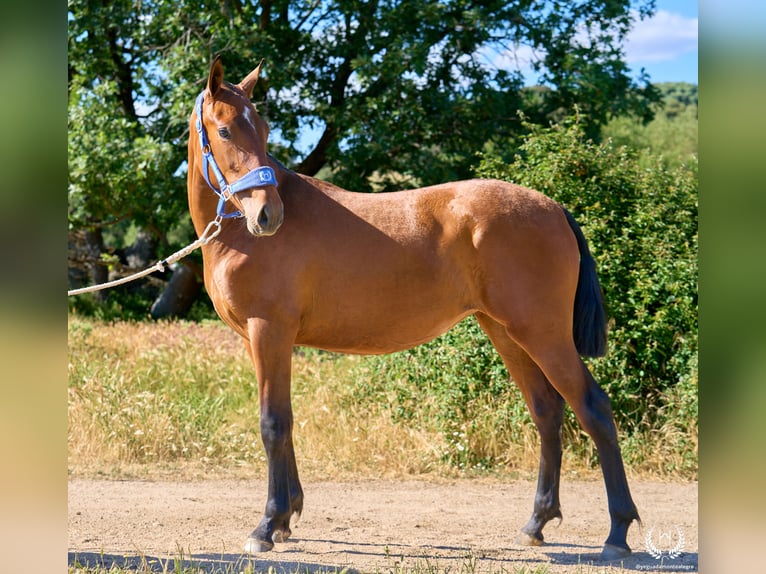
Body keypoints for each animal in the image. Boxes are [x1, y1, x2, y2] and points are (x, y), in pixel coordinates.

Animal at [187, 56, 640, 561]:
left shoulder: (270, 331)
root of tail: (554, 207)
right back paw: (536, 523)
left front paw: (267, 525)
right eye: (226, 130)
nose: (269, 215)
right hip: (507, 333)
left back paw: (617, 533)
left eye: (263, 129)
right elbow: (284, 421)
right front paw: (286, 518)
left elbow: (272, 424)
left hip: (544, 334)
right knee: (546, 412)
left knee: (593, 409)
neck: (236, 235)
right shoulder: (262, 340)